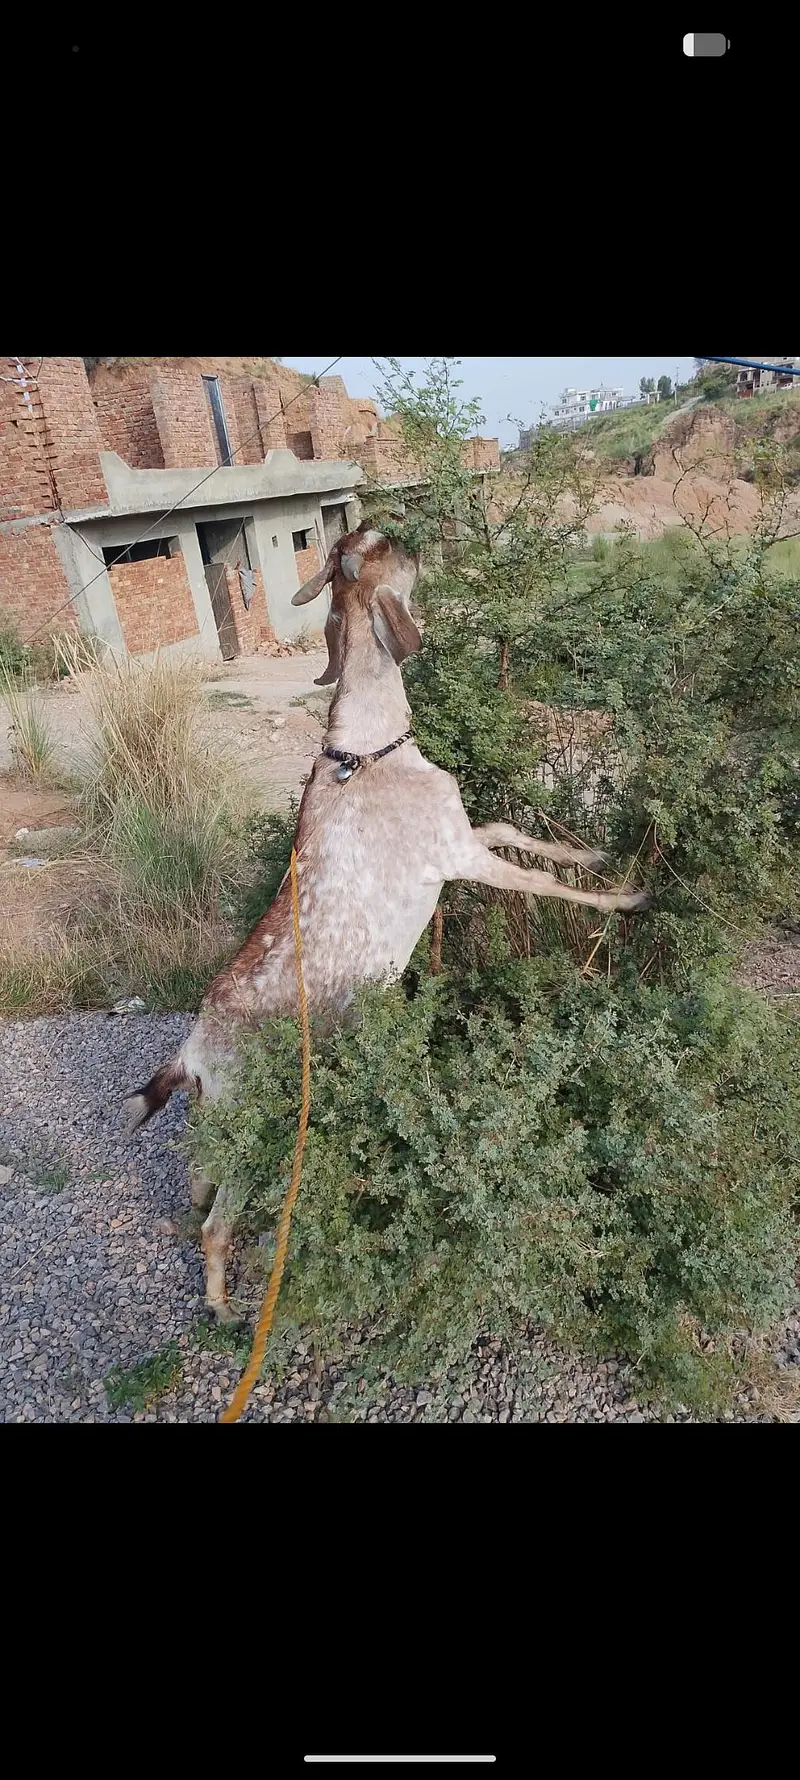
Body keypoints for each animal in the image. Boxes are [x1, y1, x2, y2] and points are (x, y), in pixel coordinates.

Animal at [123, 522, 648, 1321]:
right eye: (379, 547)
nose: (420, 541)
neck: (370, 747)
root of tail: (194, 1051)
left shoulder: (457, 839)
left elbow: (514, 832)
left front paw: (591, 850)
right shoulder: (453, 855)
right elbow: (537, 879)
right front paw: (623, 899)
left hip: (215, 1118)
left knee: (197, 1184)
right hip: (253, 1113)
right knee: (216, 1218)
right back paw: (226, 1308)